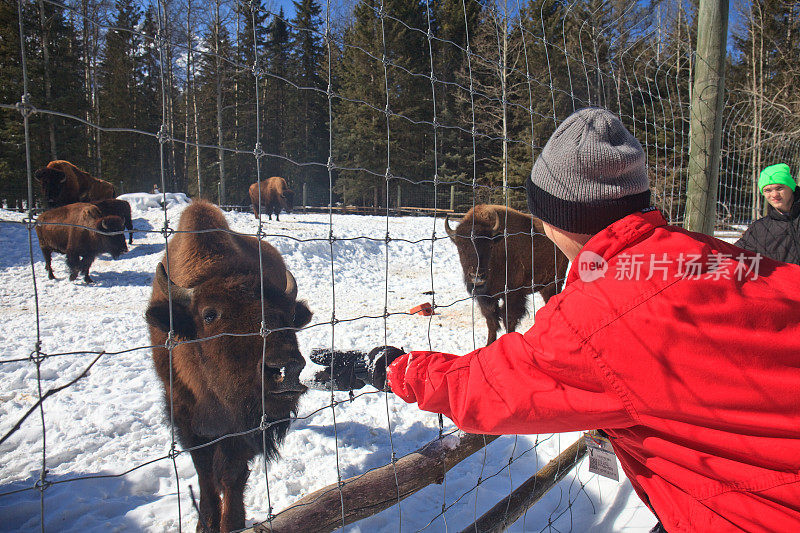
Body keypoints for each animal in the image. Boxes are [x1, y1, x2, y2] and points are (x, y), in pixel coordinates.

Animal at [146, 201, 312, 532]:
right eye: (209, 315)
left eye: (287, 316)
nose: (286, 371)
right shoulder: (184, 413)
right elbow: (204, 471)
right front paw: (206, 523)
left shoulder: (242, 424)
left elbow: (230, 473)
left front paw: (232, 522)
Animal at [444, 204, 568, 344]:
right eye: (461, 247)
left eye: (490, 246)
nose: (477, 276)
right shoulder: (485, 298)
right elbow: (491, 322)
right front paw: (489, 344)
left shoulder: (513, 294)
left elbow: (508, 319)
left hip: (555, 282)